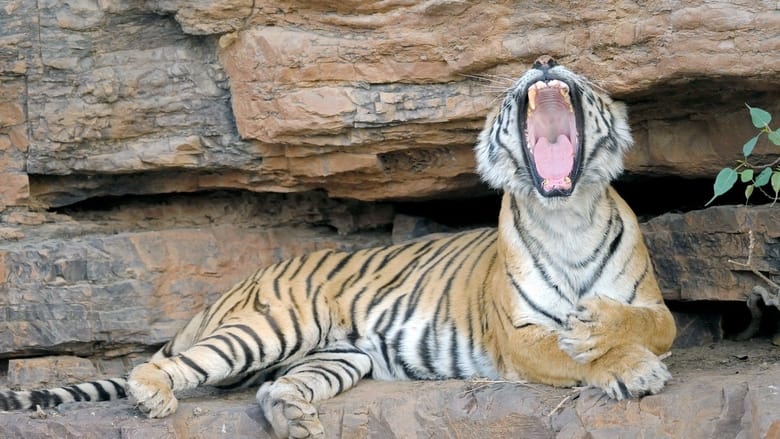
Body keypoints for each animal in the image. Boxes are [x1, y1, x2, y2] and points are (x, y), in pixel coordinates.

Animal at [0, 56, 676, 438]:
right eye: (519, 83)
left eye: (582, 77)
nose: (542, 60)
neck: (566, 215)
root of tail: (235, 287)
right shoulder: (519, 336)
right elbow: (575, 353)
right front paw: (627, 365)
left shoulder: (655, 305)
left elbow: (643, 323)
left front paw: (603, 327)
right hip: (270, 328)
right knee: (159, 367)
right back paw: (157, 397)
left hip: (337, 357)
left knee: (272, 390)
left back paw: (296, 423)